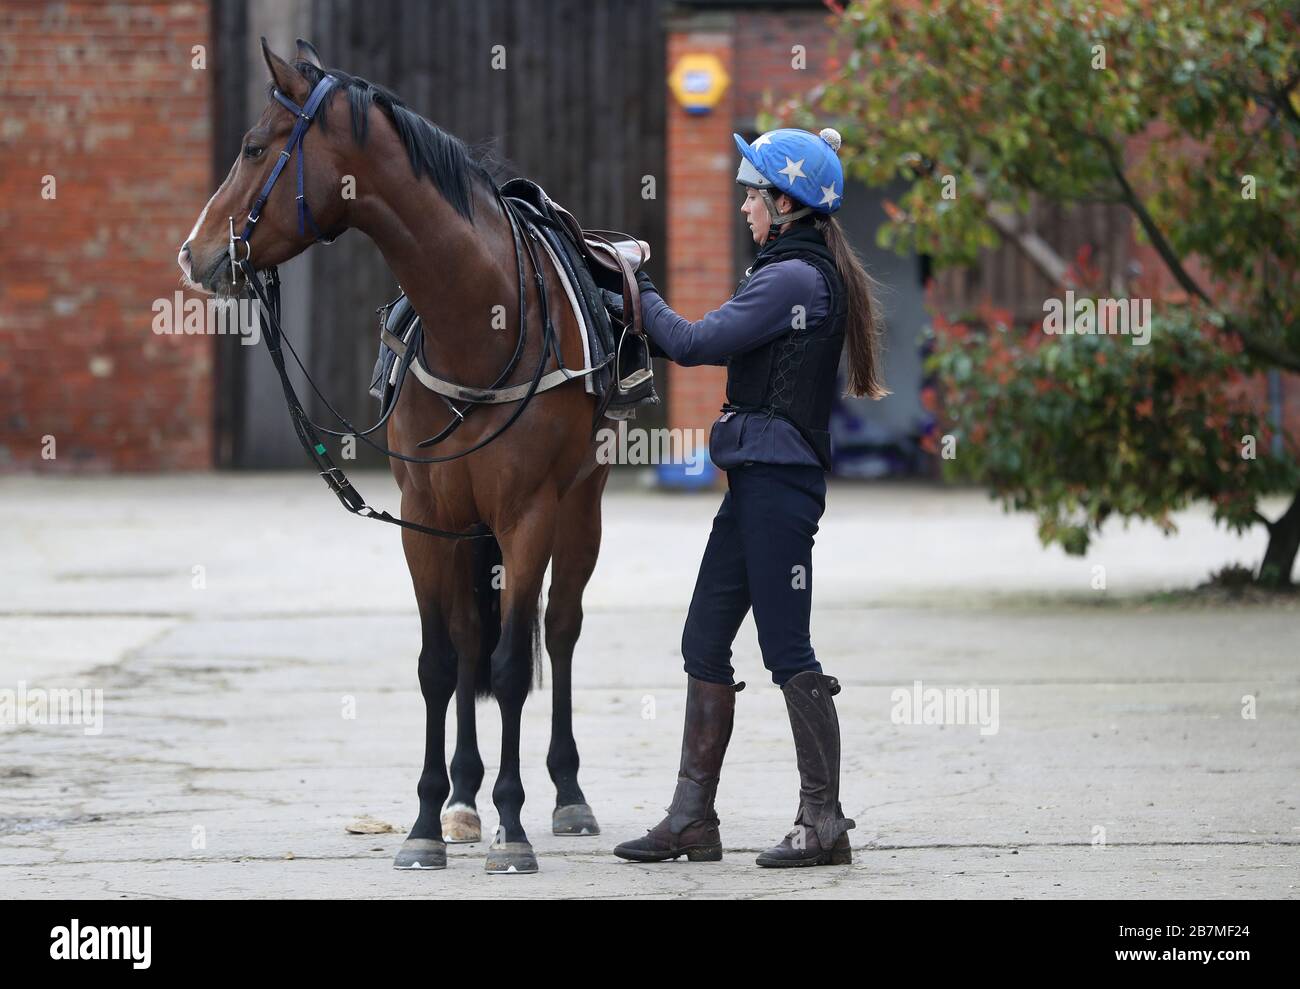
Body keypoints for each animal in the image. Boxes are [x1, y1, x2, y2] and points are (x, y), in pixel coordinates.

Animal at [178, 38, 614, 874]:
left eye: (255, 148)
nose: (194, 252)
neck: (477, 322)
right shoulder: (424, 517)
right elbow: (441, 663)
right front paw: (427, 821)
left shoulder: (530, 514)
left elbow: (513, 667)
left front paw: (514, 826)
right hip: (466, 528)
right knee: (473, 639)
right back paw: (465, 799)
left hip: (581, 508)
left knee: (562, 628)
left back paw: (569, 793)